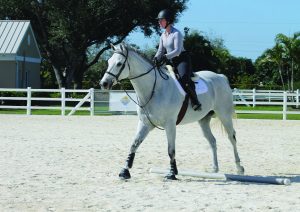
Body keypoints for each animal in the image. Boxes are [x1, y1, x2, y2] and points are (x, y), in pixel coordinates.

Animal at [99, 43, 245, 181]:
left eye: (119, 64)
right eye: (108, 62)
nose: (104, 83)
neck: (154, 90)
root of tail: (220, 76)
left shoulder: (170, 125)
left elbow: (171, 150)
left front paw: (172, 173)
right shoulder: (145, 124)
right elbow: (134, 145)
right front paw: (125, 171)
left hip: (224, 115)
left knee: (232, 138)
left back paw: (239, 168)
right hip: (203, 120)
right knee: (212, 141)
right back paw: (214, 169)